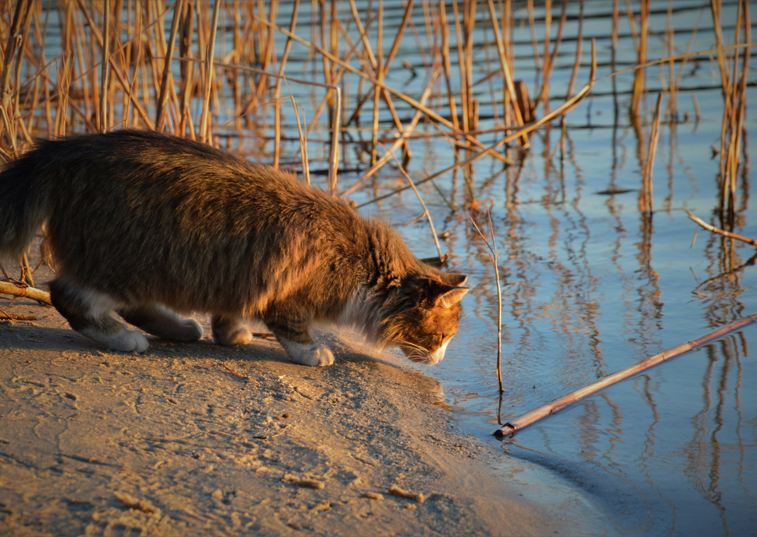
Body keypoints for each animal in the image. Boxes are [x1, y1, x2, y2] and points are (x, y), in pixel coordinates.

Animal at [0, 129, 466, 364]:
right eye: (443, 336)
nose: (442, 359)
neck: (361, 265)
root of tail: (63, 150)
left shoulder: (243, 274)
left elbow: (230, 313)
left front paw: (231, 334)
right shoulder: (289, 291)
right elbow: (294, 329)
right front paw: (313, 353)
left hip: (150, 267)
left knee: (135, 306)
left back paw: (181, 328)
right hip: (124, 261)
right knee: (68, 295)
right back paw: (123, 339)